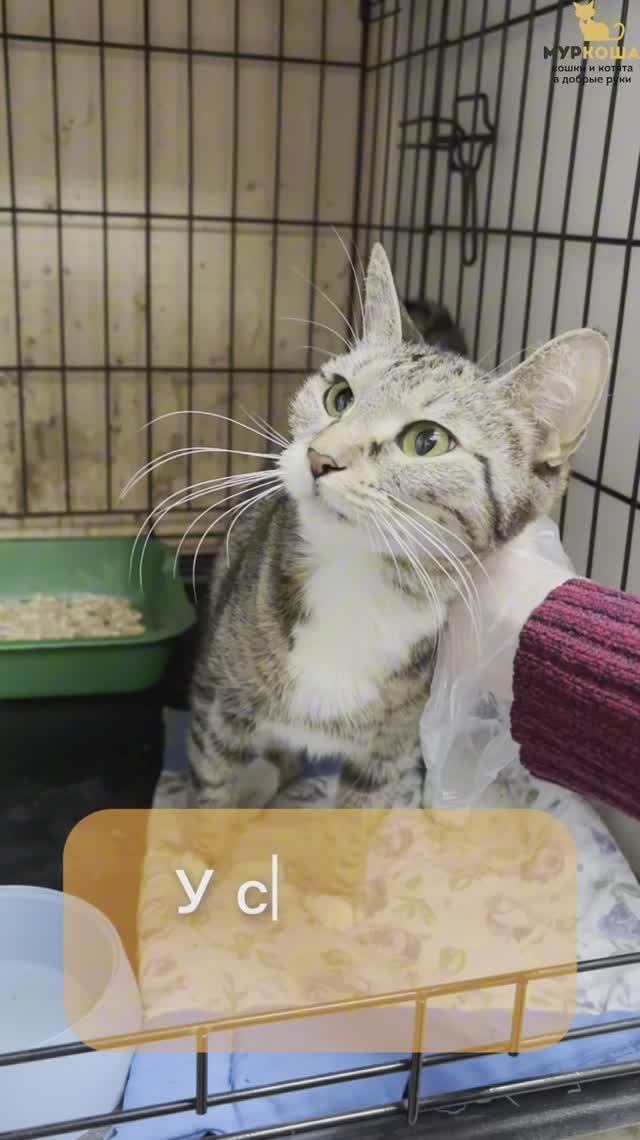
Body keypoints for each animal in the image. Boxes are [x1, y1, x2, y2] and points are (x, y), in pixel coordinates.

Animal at [186, 244, 609, 826]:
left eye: (427, 441)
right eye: (339, 397)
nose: (320, 457)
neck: (353, 585)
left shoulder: (389, 750)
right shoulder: (215, 703)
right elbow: (208, 796)